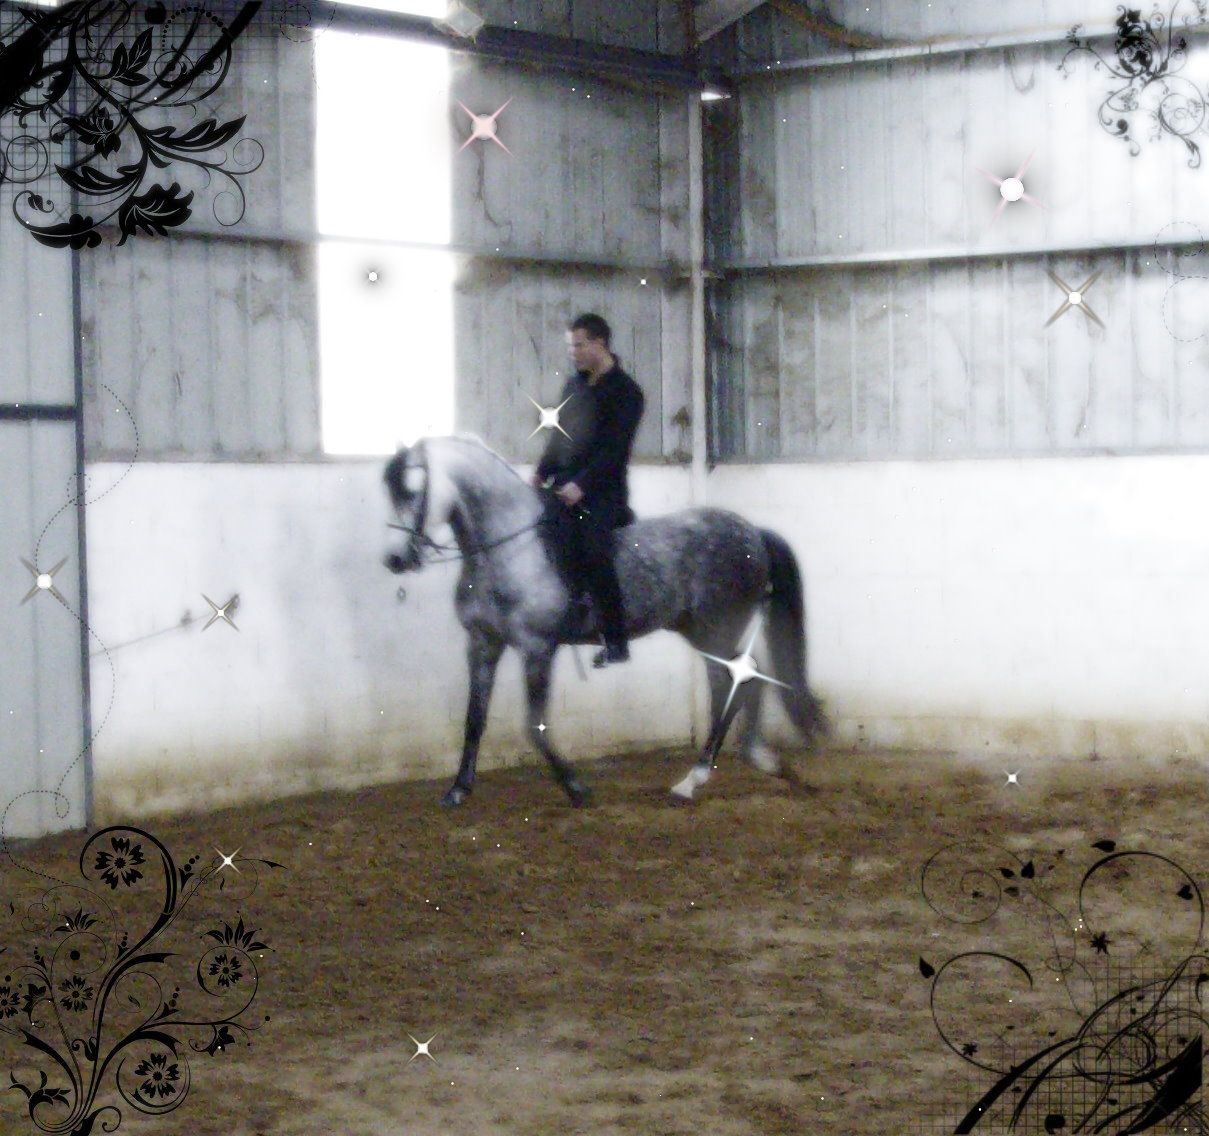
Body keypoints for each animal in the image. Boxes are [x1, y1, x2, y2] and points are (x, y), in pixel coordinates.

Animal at [381, 434, 827, 807]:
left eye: (414, 492)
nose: (395, 559)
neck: (507, 549)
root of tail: (753, 532)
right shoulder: (482, 643)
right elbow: (474, 719)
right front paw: (458, 789)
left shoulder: (537, 648)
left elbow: (534, 724)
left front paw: (576, 788)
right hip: (699, 629)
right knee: (746, 679)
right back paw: (757, 758)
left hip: (716, 628)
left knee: (735, 683)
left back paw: (694, 779)